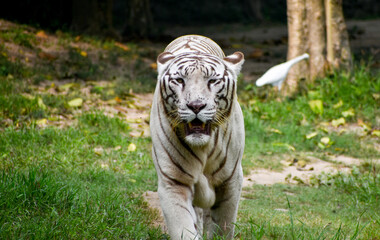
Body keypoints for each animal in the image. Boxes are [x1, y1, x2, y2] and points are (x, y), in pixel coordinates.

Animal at [150, 34, 245, 239]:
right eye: (179, 80)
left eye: (212, 81)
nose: (195, 106)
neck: (203, 147)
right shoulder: (174, 182)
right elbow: (183, 227)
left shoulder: (230, 181)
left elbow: (223, 227)